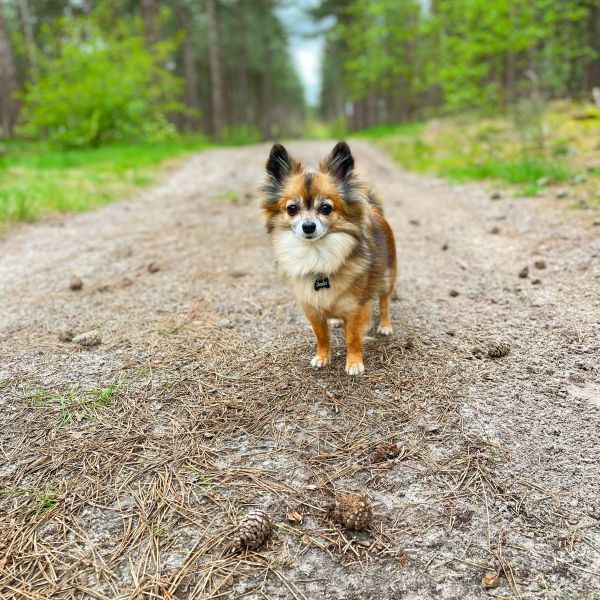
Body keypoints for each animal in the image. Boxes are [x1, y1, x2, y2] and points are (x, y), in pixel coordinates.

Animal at [258, 141, 396, 376]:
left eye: (326, 208)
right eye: (292, 209)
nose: (308, 226)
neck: (317, 254)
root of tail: (374, 209)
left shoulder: (356, 307)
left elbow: (352, 337)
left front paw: (354, 363)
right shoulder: (311, 308)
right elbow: (321, 335)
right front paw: (323, 357)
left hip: (388, 278)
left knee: (384, 302)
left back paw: (385, 325)